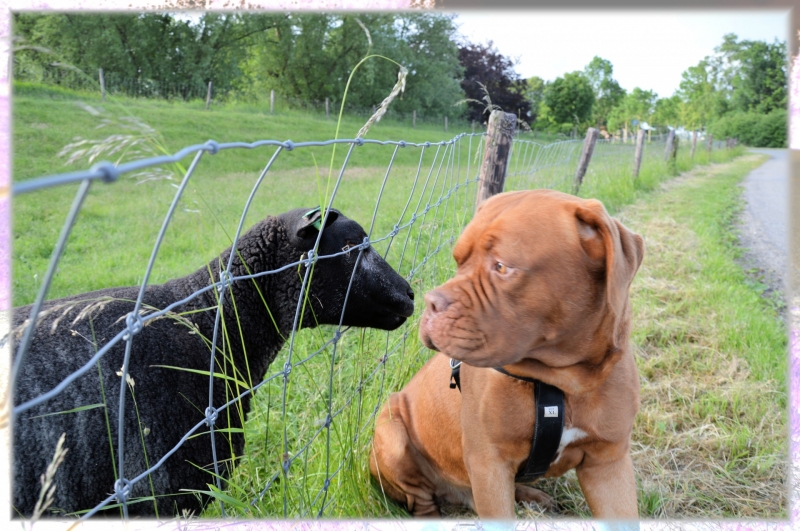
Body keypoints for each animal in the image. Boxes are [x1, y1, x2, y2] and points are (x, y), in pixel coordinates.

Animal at [372, 190, 648, 520]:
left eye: (502, 266)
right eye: (458, 260)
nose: (430, 302)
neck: (560, 382)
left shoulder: (608, 463)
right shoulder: (489, 464)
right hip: (391, 432)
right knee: (421, 501)